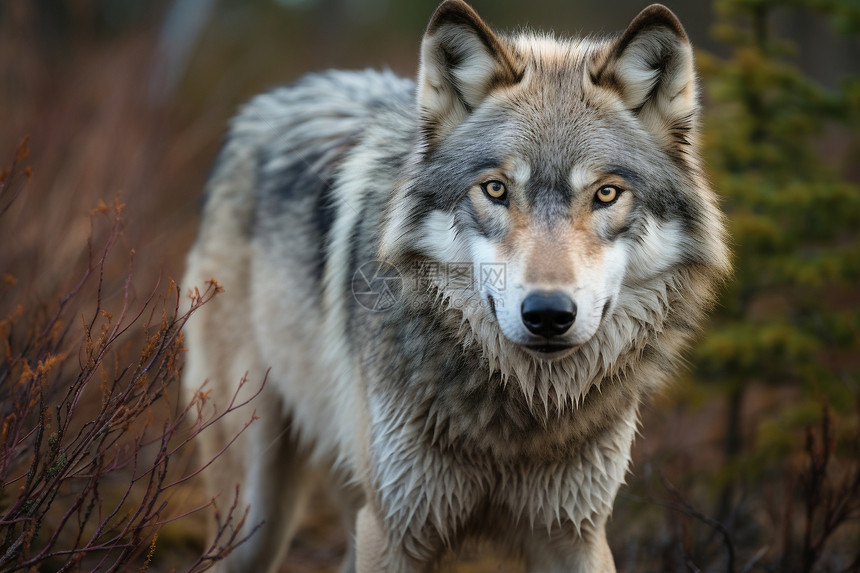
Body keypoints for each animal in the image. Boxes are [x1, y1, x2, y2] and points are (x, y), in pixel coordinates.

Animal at [185, 2, 728, 568]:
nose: (548, 313)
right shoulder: (392, 530)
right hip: (253, 517)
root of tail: (277, 93)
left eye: (605, 194)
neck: (518, 415)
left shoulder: (576, 534)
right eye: (496, 189)